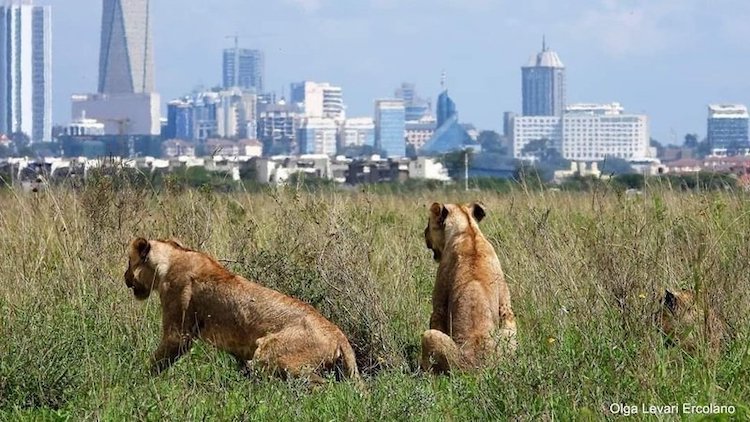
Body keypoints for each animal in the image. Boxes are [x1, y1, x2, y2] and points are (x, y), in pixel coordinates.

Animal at [122, 237, 358, 382]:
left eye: (129, 262)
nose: (124, 277)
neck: (170, 259)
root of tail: (339, 334)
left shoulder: (178, 332)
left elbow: (158, 360)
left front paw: (137, 380)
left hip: (269, 354)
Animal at [420, 203, 520, 374]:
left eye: (429, 223)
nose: (424, 233)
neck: (467, 230)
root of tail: (477, 367)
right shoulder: (505, 305)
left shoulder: (439, 305)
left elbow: (437, 316)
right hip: (508, 334)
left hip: (430, 337)